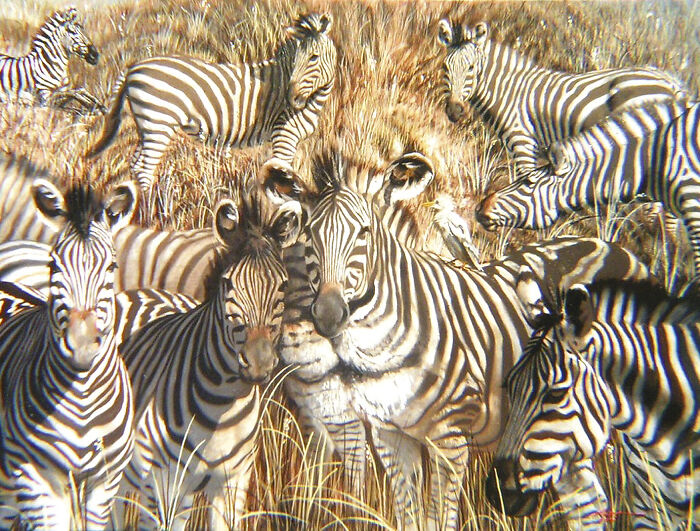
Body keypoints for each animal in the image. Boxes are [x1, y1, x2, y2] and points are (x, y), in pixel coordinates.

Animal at [0, 179, 137, 529]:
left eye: (112, 266)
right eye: (53, 265)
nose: (82, 344)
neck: (82, 392)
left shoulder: (105, 482)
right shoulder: (34, 478)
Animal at [86, 12, 337, 193]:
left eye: (313, 58)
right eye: (295, 61)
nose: (291, 99)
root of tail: (132, 67)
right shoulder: (284, 136)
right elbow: (281, 178)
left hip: (146, 126)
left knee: (135, 166)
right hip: (158, 124)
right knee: (145, 171)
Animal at [117, 176, 303, 530]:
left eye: (284, 285)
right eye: (228, 284)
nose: (258, 364)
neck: (222, 404)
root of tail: (137, 291)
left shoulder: (232, 485)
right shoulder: (163, 485)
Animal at [280, 150, 654, 529]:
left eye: (364, 232)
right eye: (309, 235)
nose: (327, 314)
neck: (379, 348)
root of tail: (610, 246)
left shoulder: (450, 438)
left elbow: (440, 518)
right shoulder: (389, 437)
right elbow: (408, 517)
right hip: (560, 430)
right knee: (588, 504)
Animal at [437, 19, 694, 175]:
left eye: (471, 68)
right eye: (445, 67)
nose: (454, 111)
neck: (507, 89)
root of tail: (670, 81)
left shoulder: (523, 142)